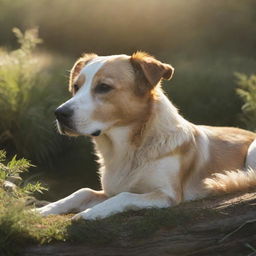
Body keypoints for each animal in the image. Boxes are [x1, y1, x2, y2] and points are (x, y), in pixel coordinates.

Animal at [35, 52, 256, 220]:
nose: (59, 113)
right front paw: (42, 210)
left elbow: (124, 196)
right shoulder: (108, 191)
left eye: (104, 87)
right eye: (76, 87)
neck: (127, 149)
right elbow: (81, 192)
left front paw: (91, 213)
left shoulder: (166, 194)